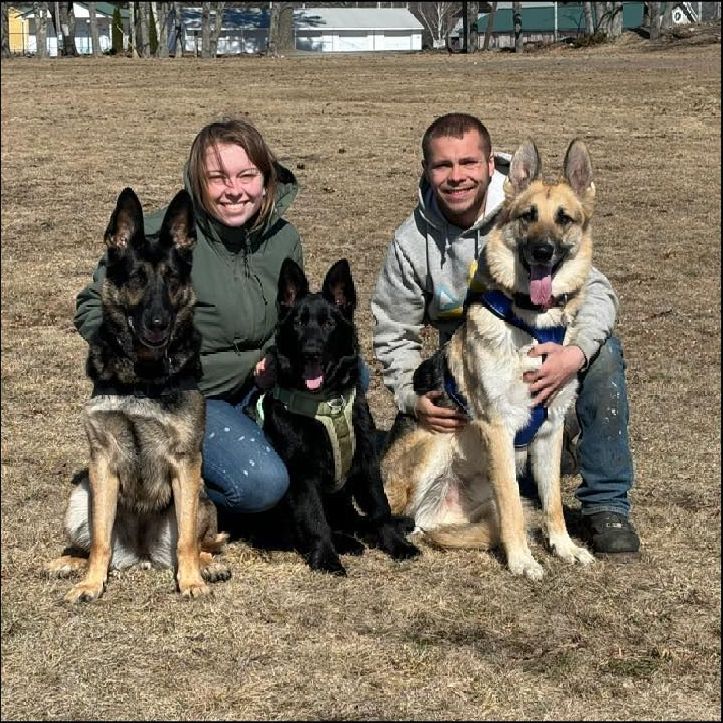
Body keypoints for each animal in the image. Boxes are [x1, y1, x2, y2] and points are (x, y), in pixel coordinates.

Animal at [258, 260, 418, 576]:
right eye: (297, 323)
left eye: (329, 324)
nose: (311, 353)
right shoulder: (302, 475)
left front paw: (395, 543)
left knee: (352, 517)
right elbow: (314, 520)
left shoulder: (366, 462)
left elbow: (380, 507)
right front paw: (326, 557)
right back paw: (344, 542)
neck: (326, 403)